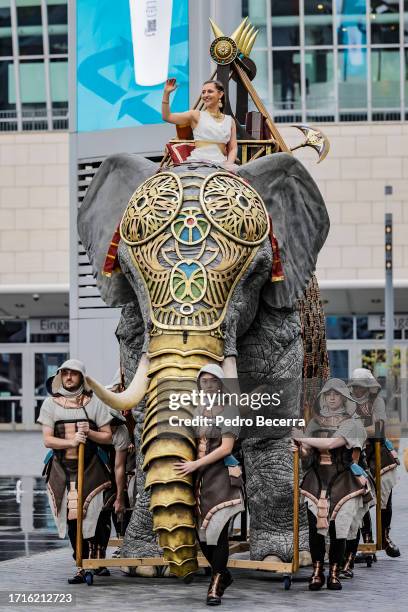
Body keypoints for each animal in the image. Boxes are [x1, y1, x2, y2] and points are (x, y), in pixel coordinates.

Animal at [78, 152, 330, 580]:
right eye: (127, 271)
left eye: (256, 273)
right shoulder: (134, 325)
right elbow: (145, 424)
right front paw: (143, 565)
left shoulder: (277, 320)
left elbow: (268, 424)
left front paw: (276, 561)